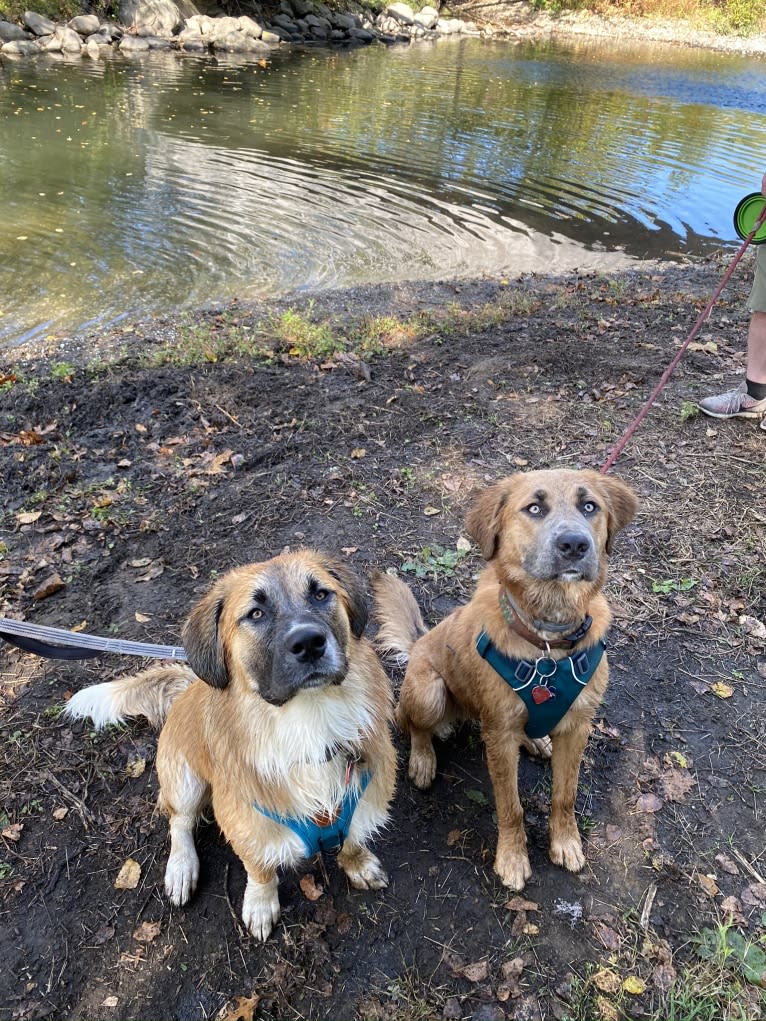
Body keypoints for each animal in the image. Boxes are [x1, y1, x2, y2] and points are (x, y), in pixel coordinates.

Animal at [67, 551, 396, 939]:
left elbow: (353, 838)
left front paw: (356, 863)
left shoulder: (366, 794)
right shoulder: (244, 821)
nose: (309, 642)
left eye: (320, 595)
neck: (307, 721)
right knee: (179, 822)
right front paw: (261, 903)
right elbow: (260, 869)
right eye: (255, 614)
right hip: (185, 780)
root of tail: (188, 687)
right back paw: (181, 868)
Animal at [375, 471, 637, 894]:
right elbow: (510, 805)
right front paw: (512, 859)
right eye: (534, 508)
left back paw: (536, 740)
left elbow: (565, 794)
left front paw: (566, 842)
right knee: (412, 724)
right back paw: (423, 759)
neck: (548, 642)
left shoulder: (578, 726)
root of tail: (419, 641)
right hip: (429, 693)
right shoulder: (497, 734)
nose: (575, 544)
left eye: (589, 506)